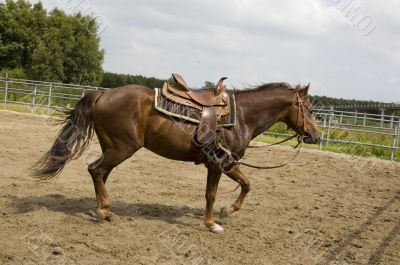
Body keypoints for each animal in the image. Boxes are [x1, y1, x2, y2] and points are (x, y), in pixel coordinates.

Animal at [29, 80, 320, 231]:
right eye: (309, 109)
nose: (316, 135)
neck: (242, 117)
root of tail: (103, 93)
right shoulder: (219, 163)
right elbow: (212, 194)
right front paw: (212, 223)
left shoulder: (228, 163)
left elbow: (247, 183)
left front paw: (228, 210)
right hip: (121, 148)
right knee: (96, 170)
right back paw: (106, 211)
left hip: (112, 148)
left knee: (99, 173)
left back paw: (102, 208)